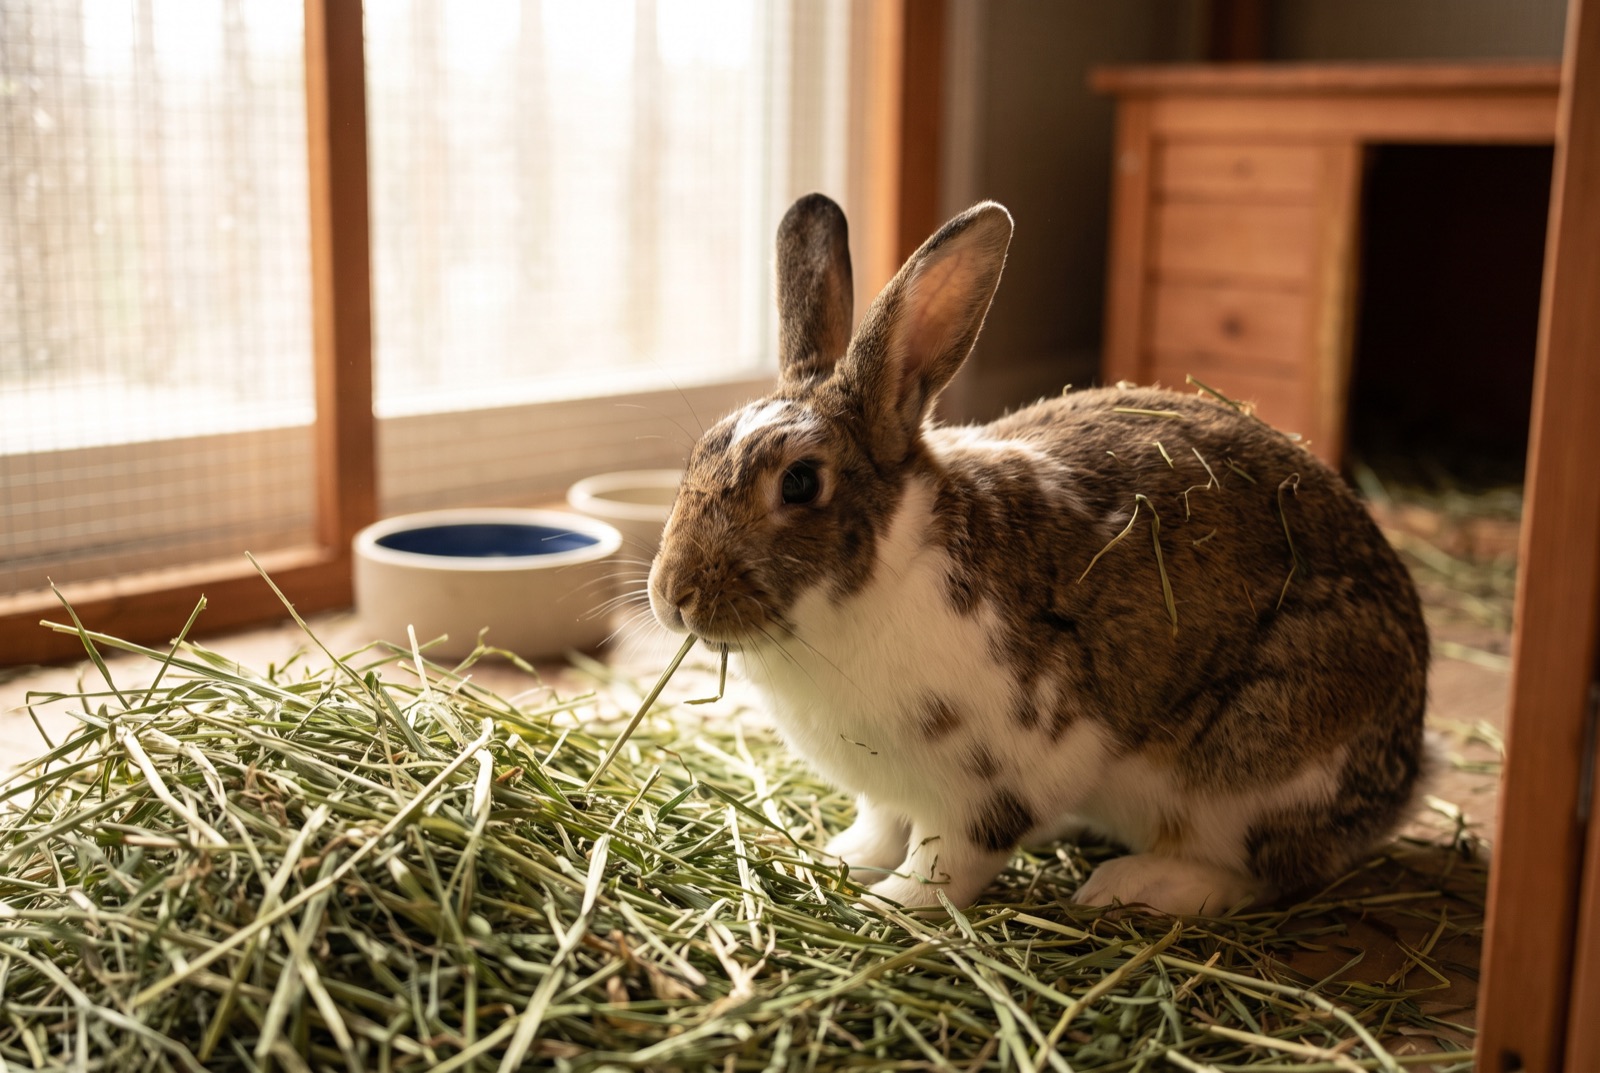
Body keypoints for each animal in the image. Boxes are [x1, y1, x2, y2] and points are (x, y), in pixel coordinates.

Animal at [646, 193, 1429, 915]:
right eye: (699, 452)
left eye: (801, 482)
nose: (672, 595)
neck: (884, 574)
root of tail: (1404, 777)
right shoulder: (888, 791)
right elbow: (879, 828)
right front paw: (838, 861)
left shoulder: (996, 778)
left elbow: (949, 858)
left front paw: (889, 906)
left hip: (1252, 767)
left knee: (1263, 871)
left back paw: (1129, 885)